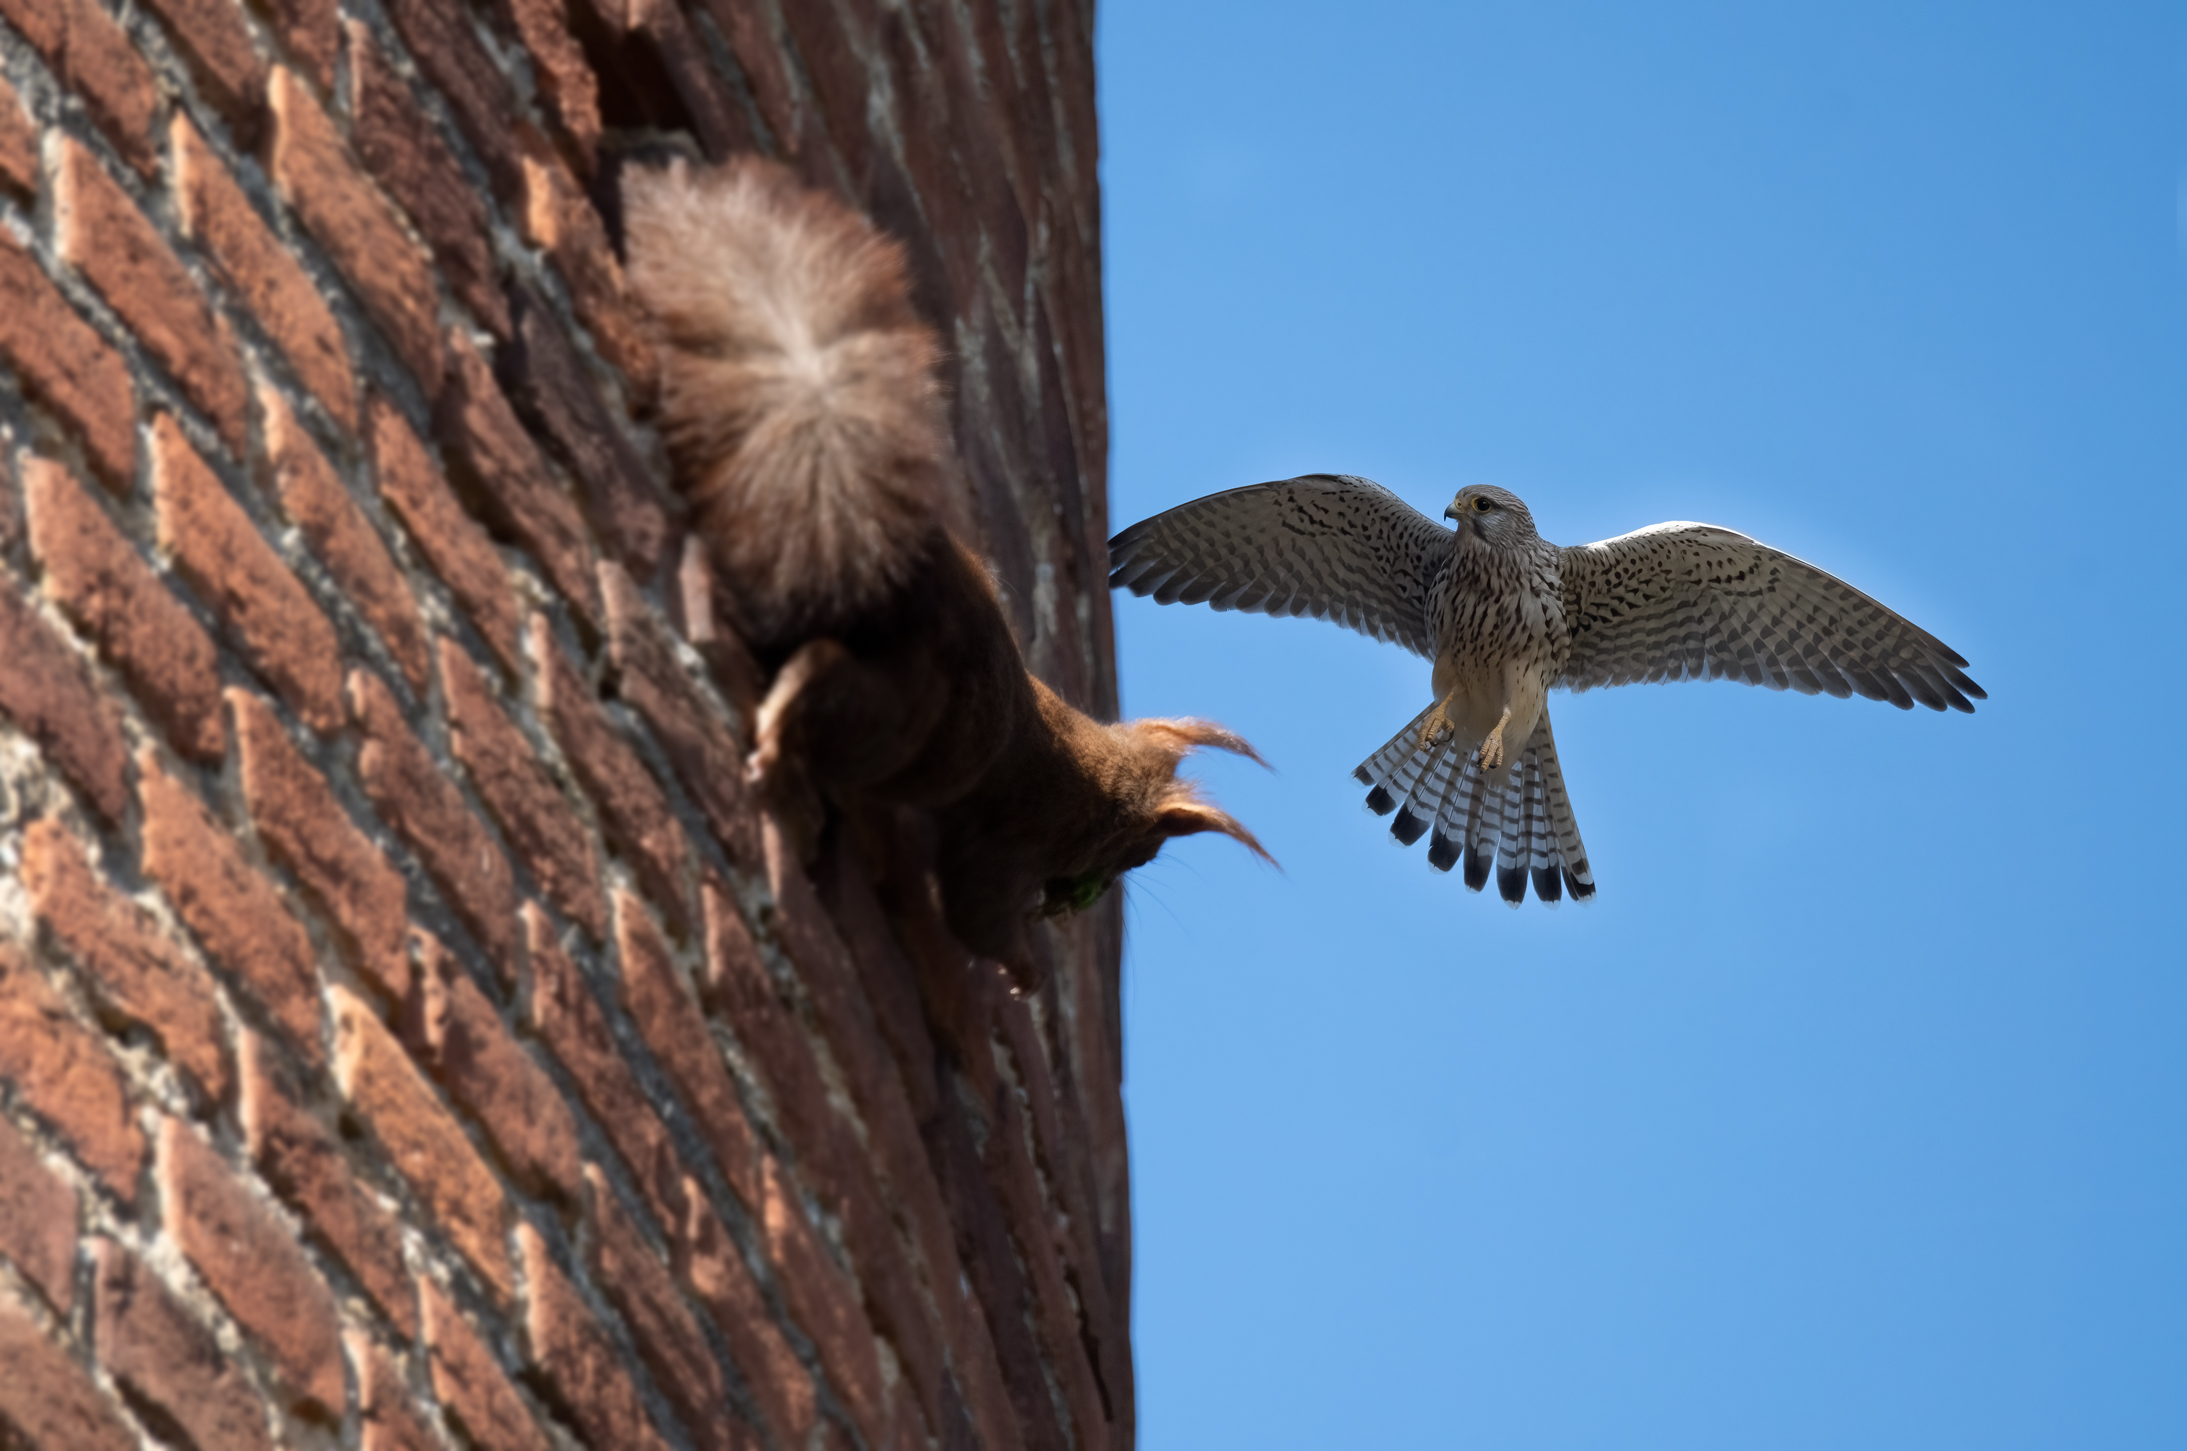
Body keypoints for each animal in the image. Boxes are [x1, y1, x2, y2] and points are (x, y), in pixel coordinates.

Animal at [621, 156, 1266, 983]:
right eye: (1149, 848)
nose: (1114, 879)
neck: (1099, 770)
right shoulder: (1011, 841)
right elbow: (976, 909)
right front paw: (1022, 968)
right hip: (900, 727)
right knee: (828, 680)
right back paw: (781, 730)